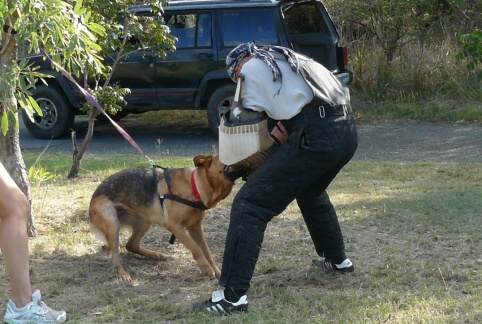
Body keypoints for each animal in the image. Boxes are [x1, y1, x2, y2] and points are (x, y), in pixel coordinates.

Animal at [90, 154, 235, 280]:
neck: (194, 186)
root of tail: (94, 195)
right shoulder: (175, 226)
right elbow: (196, 248)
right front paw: (206, 269)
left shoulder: (195, 228)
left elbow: (206, 251)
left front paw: (216, 271)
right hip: (113, 223)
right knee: (115, 256)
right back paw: (122, 274)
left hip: (144, 221)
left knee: (131, 245)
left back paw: (155, 255)